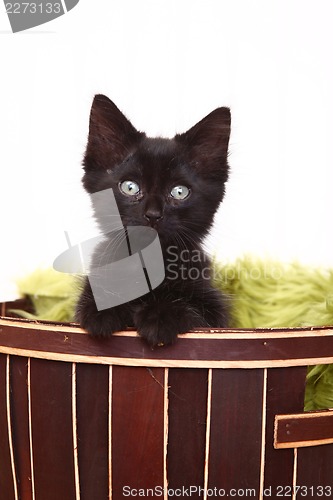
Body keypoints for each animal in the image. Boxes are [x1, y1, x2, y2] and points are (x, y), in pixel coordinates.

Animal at [75, 94, 231, 346]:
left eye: (179, 192)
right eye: (130, 187)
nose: (153, 214)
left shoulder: (215, 310)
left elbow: (196, 309)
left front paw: (160, 316)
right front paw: (104, 311)